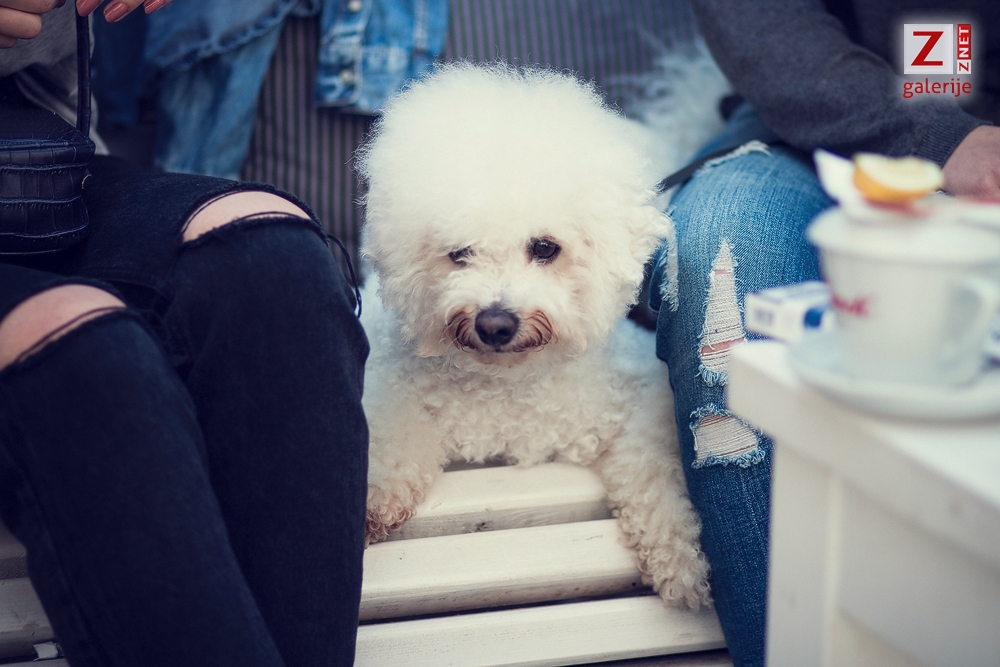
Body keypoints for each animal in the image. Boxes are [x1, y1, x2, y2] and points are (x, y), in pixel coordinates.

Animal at [356, 62, 711, 609]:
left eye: (545, 248)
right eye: (459, 253)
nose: (495, 324)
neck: (508, 389)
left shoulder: (641, 396)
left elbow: (653, 469)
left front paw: (679, 557)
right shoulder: (388, 378)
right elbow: (391, 434)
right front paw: (372, 502)